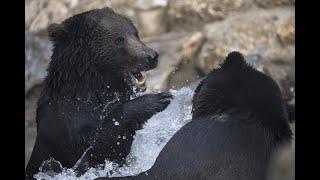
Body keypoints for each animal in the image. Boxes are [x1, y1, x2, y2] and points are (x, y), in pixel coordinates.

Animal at [25, 7, 172, 179]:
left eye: (135, 33)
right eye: (119, 39)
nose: (152, 56)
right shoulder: (65, 125)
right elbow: (95, 147)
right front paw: (157, 99)